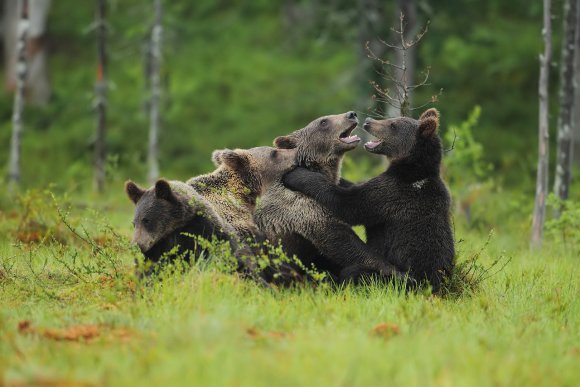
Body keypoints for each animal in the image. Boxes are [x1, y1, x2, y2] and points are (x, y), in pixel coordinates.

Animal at [284, 107, 456, 292]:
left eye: (392, 124)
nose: (368, 122)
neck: (414, 171)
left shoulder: (391, 194)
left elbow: (347, 203)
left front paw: (297, 174)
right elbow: (353, 187)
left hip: (397, 280)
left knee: (356, 272)